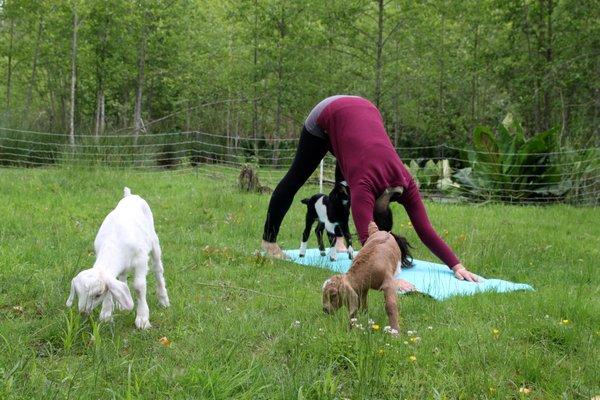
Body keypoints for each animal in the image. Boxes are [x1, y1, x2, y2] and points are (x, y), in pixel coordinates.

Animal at [66, 187, 169, 328]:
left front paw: (142, 319)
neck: (113, 242)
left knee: (158, 269)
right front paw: (106, 314)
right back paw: (121, 304)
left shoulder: (141, 260)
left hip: (154, 242)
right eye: (77, 292)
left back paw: (164, 300)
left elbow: (139, 287)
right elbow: (112, 287)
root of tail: (130, 196)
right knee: (123, 276)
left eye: (98, 295)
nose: (83, 312)